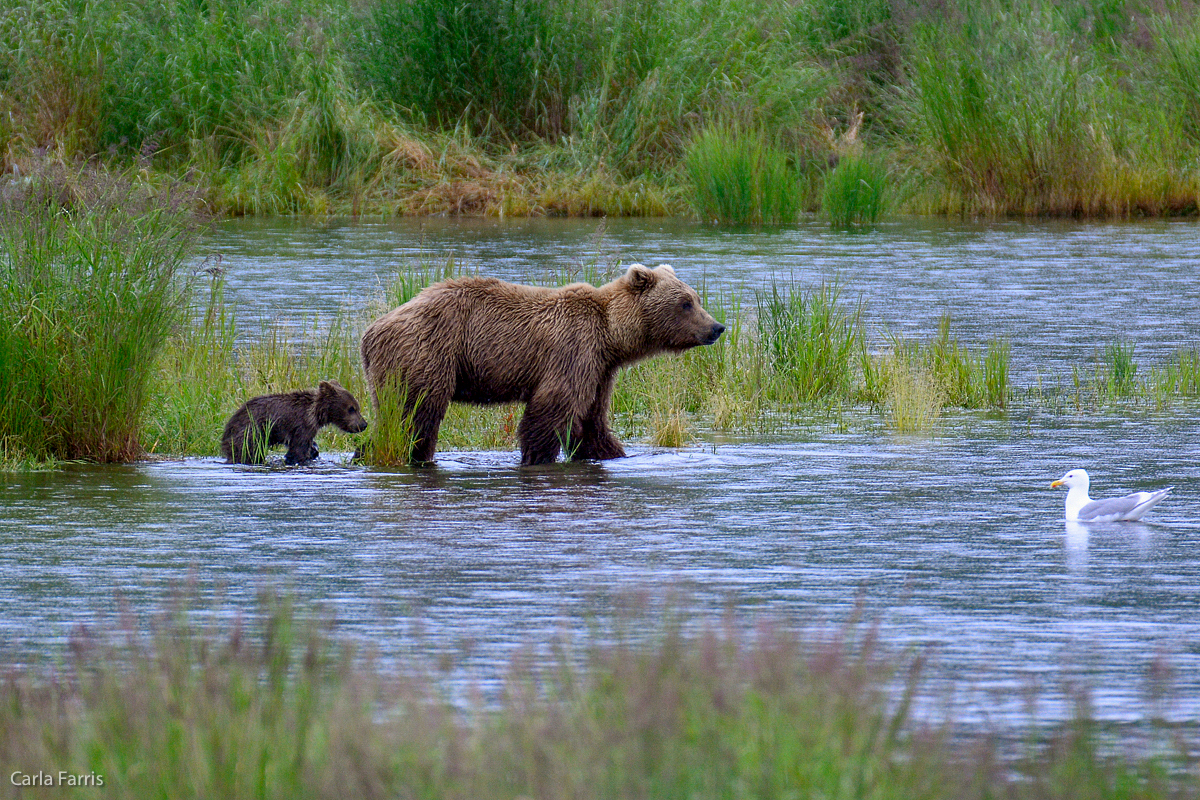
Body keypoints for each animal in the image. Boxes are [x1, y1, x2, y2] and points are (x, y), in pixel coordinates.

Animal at [357, 263, 720, 462]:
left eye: (696, 298)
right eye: (685, 303)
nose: (716, 327)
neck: (612, 336)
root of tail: (371, 331)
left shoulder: (600, 370)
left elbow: (592, 421)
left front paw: (612, 452)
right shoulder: (573, 350)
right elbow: (551, 409)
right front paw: (537, 456)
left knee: (390, 420)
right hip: (428, 353)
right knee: (414, 417)